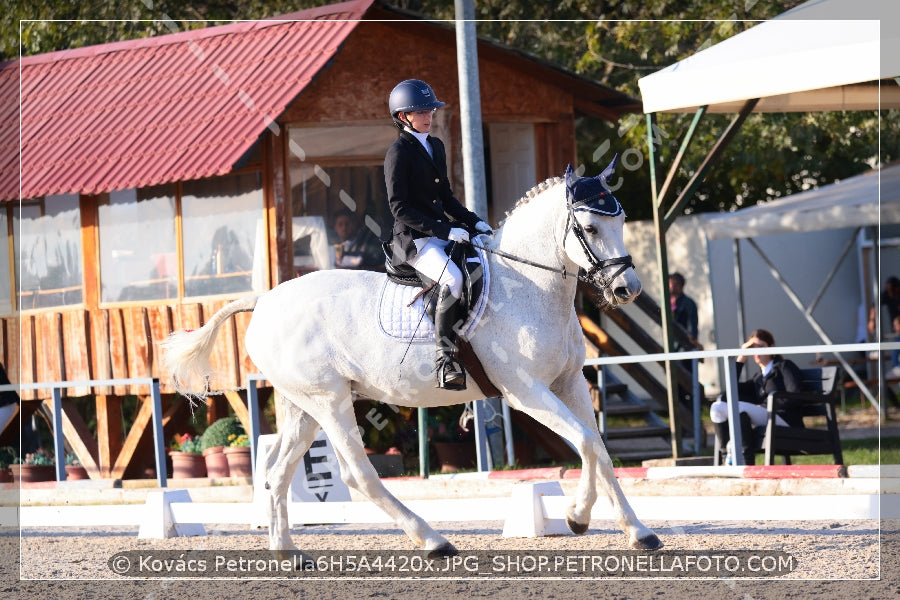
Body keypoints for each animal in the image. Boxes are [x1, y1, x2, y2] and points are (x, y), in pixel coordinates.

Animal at [163, 161, 660, 556]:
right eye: (590, 228)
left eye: (622, 220)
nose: (627, 289)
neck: (531, 288)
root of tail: (264, 299)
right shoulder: (526, 391)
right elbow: (585, 442)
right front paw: (577, 515)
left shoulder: (568, 383)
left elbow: (599, 450)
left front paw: (638, 532)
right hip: (329, 401)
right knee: (357, 474)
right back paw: (433, 540)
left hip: (299, 405)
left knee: (276, 473)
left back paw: (287, 552)